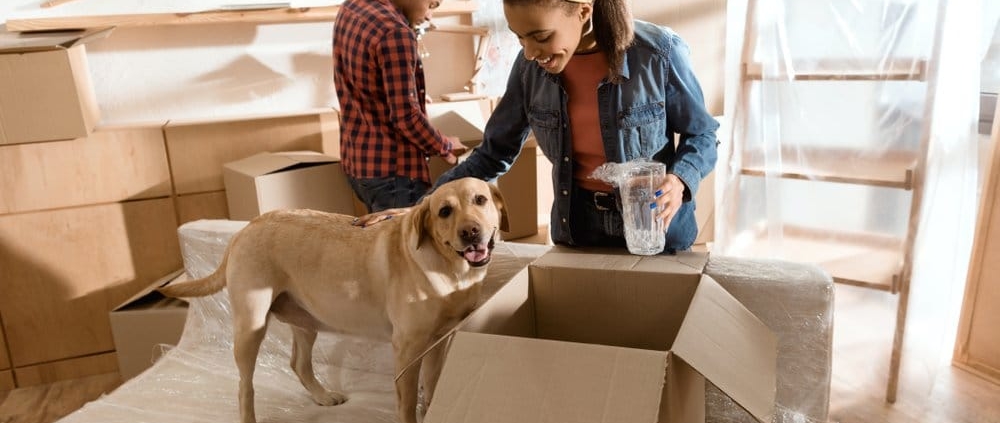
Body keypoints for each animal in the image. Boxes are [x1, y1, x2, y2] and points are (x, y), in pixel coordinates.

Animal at [162, 177, 508, 423]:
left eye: (480, 199)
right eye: (444, 211)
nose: (471, 232)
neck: (451, 269)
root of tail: (244, 229)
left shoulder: (440, 341)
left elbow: (434, 387)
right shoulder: (408, 349)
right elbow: (408, 403)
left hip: (305, 321)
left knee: (298, 363)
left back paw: (323, 396)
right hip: (251, 328)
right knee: (244, 387)